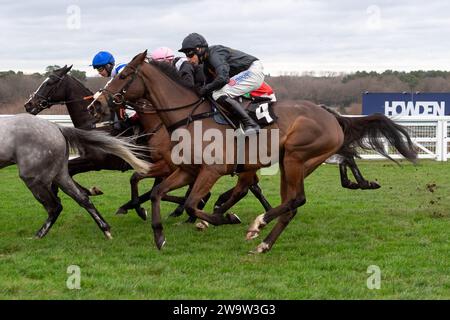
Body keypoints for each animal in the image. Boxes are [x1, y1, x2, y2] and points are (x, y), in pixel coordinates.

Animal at [0, 114, 151, 239]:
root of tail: (57, 127)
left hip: (33, 179)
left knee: (55, 206)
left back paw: (38, 235)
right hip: (60, 175)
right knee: (82, 199)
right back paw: (106, 229)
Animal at [88, 50, 418, 255]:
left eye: (123, 75)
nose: (97, 104)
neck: (187, 117)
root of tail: (331, 115)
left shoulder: (210, 170)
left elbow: (193, 204)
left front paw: (220, 218)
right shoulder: (185, 169)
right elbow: (158, 192)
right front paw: (158, 234)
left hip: (296, 158)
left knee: (295, 199)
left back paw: (257, 223)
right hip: (290, 163)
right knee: (288, 203)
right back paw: (263, 242)